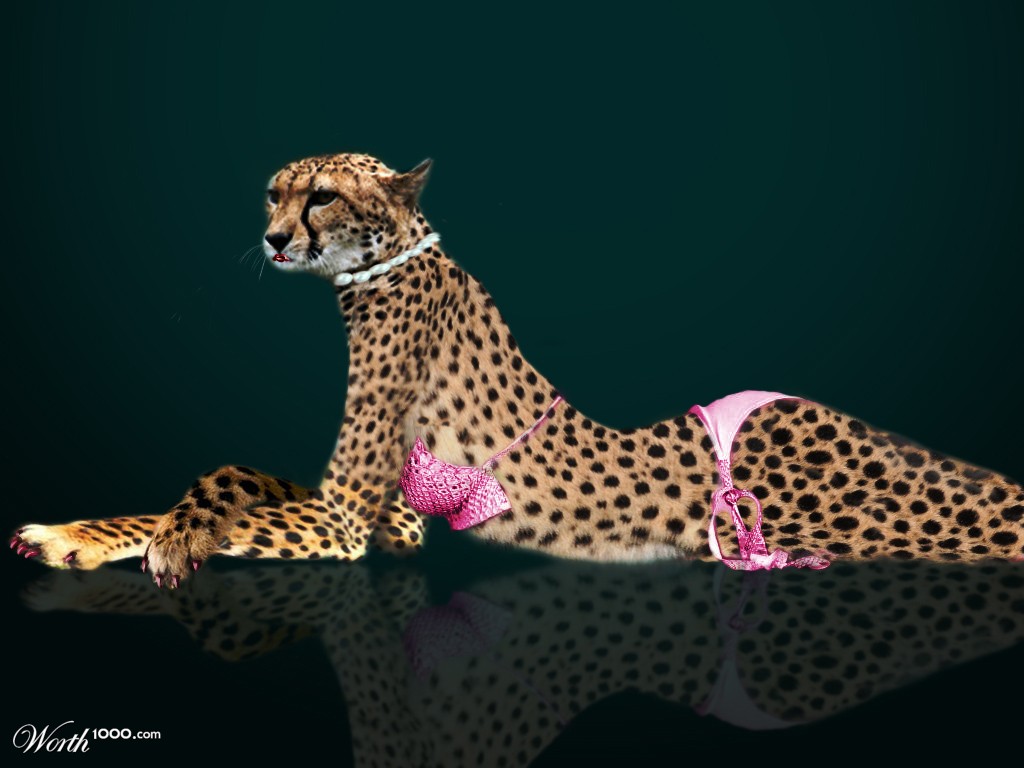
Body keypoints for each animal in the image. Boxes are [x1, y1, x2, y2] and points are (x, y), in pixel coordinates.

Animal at [10, 152, 1024, 585]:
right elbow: (233, 476)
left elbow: (205, 487)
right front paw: (94, 532)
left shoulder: (346, 521)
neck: (386, 265)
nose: (271, 239)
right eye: (272, 193)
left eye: (322, 196)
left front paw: (124, 539)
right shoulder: (387, 521)